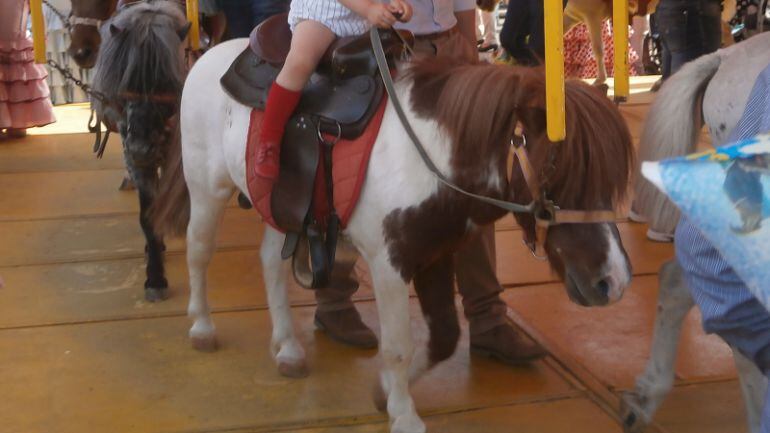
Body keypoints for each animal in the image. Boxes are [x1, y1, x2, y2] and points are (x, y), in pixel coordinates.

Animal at [153, 38, 632, 430]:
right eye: (556, 169)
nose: (613, 281)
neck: (426, 153)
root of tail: (207, 56)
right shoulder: (389, 263)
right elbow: (400, 344)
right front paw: (404, 414)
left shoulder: (436, 253)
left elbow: (444, 337)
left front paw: (383, 391)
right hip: (207, 188)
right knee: (198, 252)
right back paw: (202, 327)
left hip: (279, 207)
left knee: (270, 261)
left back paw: (288, 347)